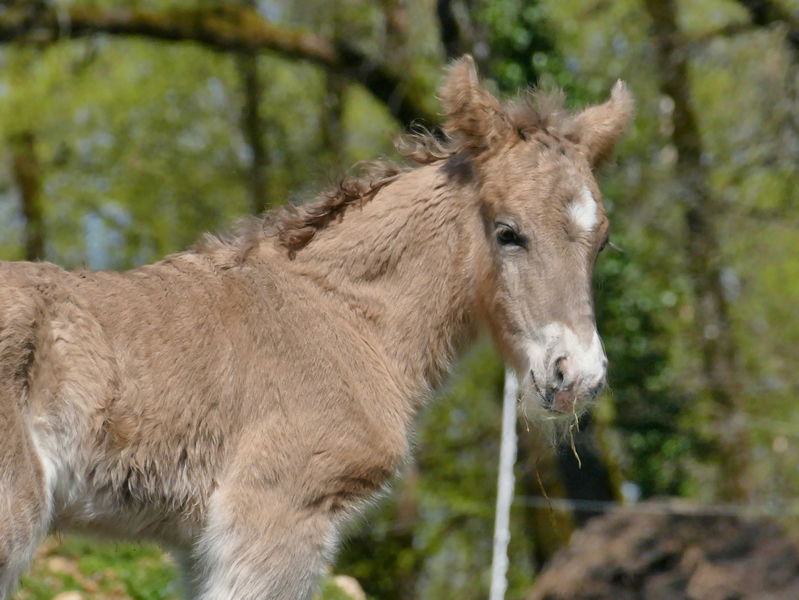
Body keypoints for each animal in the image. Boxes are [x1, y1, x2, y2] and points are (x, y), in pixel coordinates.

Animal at [1, 57, 636, 600]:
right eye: (507, 232)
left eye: (603, 242)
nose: (577, 375)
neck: (343, 316)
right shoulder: (279, 513)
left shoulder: (202, 545)